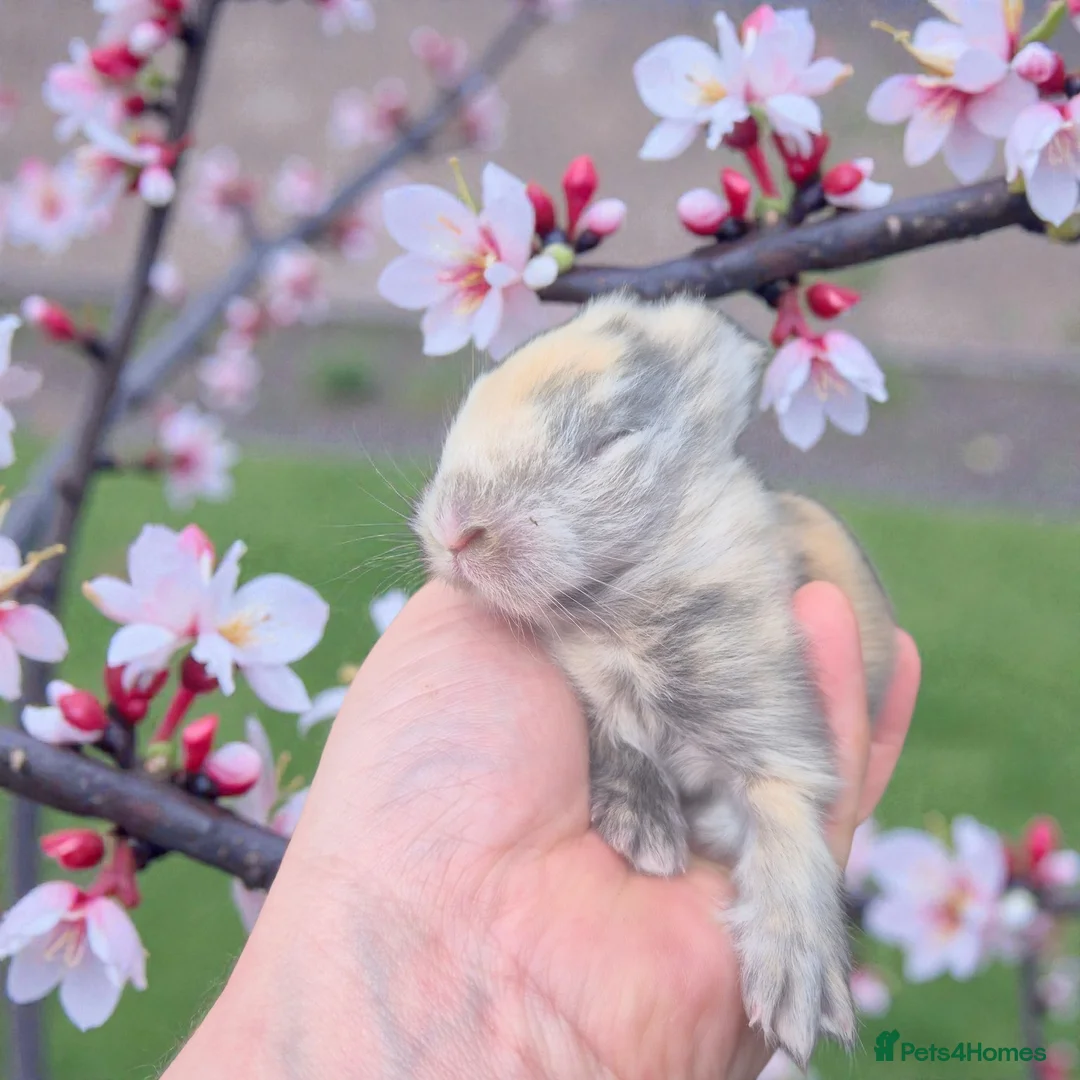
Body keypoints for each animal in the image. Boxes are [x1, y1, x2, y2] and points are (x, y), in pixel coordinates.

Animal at [411, 291, 897, 1068]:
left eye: (612, 441)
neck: (618, 608)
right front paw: (646, 830)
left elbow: (785, 819)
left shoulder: (770, 717)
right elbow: (616, 737)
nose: (457, 530)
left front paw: (797, 989)